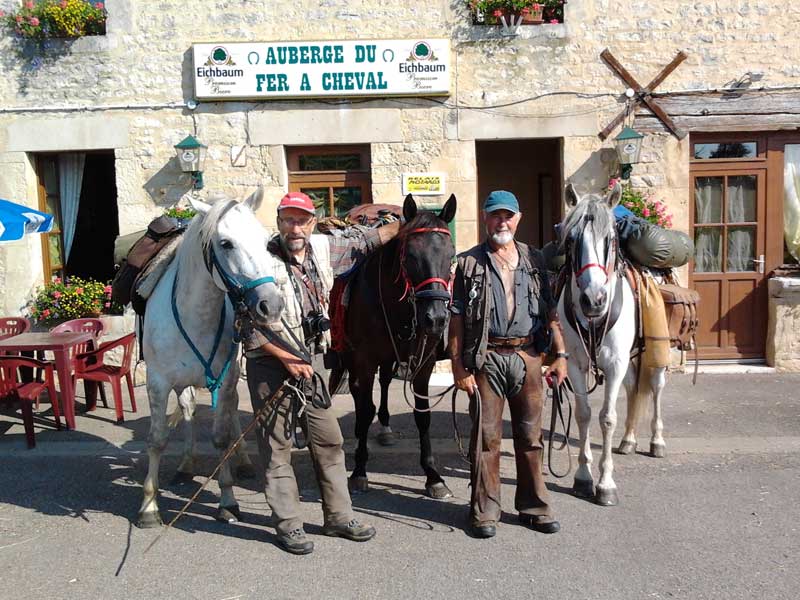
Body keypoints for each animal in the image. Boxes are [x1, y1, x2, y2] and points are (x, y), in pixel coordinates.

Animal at [138, 190, 284, 528]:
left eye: (266, 241)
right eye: (226, 243)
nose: (271, 305)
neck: (195, 315)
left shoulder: (225, 376)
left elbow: (220, 437)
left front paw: (227, 501)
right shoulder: (158, 382)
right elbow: (157, 439)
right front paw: (149, 506)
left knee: (230, 411)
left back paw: (242, 460)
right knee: (188, 410)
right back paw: (186, 464)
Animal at [332, 195, 456, 500]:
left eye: (451, 256)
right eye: (410, 255)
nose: (436, 318)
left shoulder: (424, 362)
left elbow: (422, 416)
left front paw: (433, 476)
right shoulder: (364, 360)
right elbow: (365, 409)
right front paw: (359, 470)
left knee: (386, 380)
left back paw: (386, 428)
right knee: (360, 394)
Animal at [564, 183, 668, 506]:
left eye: (609, 239)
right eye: (570, 239)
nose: (593, 300)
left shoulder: (615, 363)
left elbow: (607, 418)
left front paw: (606, 483)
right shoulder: (575, 364)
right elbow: (583, 413)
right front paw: (583, 477)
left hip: (656, 354)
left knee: (656, 387)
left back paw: (657, 441)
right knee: (634, 387)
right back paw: (628, 439)